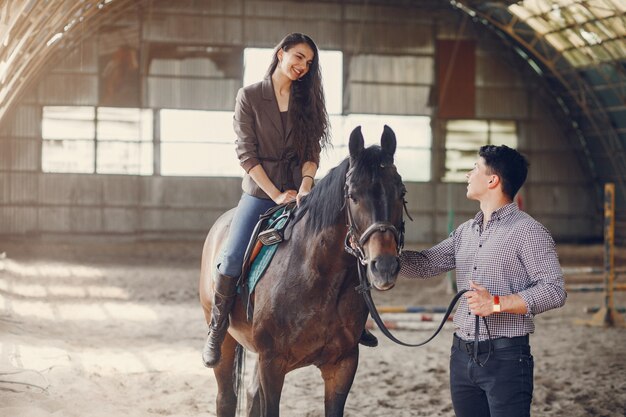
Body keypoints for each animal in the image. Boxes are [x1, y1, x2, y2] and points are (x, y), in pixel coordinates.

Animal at [197, 126, 408, 416]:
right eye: (353, 195)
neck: (319, 277)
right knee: (226, 398)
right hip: (227, 340)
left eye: (401, 192)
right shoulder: (272, 364)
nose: (384, 267)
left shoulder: (342, 365)